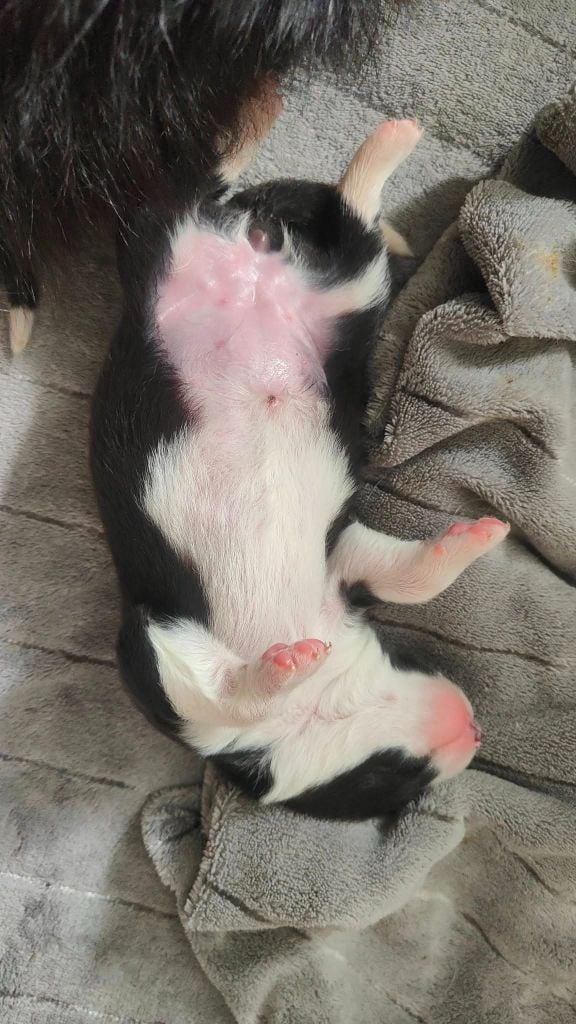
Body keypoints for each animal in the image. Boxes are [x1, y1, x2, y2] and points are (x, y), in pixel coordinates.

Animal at [90, 93, 510, 822]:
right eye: (395, 782)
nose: (475, 730)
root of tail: (243, 247)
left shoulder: (341, 560)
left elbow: (408, 575)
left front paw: (475, 537)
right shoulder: (159, 657)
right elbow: (224, 695)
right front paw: (282, 668)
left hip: (351, 292)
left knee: (345, 221)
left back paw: (378, 144)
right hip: (181, 247)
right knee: (206, 191)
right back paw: (367, 139)